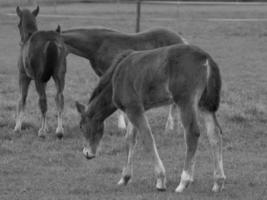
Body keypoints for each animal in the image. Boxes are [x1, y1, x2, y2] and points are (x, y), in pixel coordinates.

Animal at [14, 5, 68, 138]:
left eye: (18, 24)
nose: (20, 41)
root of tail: (51, 41)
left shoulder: (23, 76)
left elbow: (22, 98)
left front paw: (17, 127)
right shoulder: (45, 80)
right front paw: (47, 127)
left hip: (37, 78)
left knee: (43, 100)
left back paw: (42, 132)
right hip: (59, 75)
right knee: (59, 97)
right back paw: (59, 130)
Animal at [75, 43, 226, 192]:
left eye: (81, 127)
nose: (87, 153)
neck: (116, 78)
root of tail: (206, 58)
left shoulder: (134, 109)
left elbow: (147, 137)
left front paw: (160, 180)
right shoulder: (133, 110)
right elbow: (129, 139)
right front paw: (125, 178)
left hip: (185, 101)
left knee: (192, 133)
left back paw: (183, 182)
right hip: (205, 105)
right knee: (214, 134)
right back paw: (218, 181)